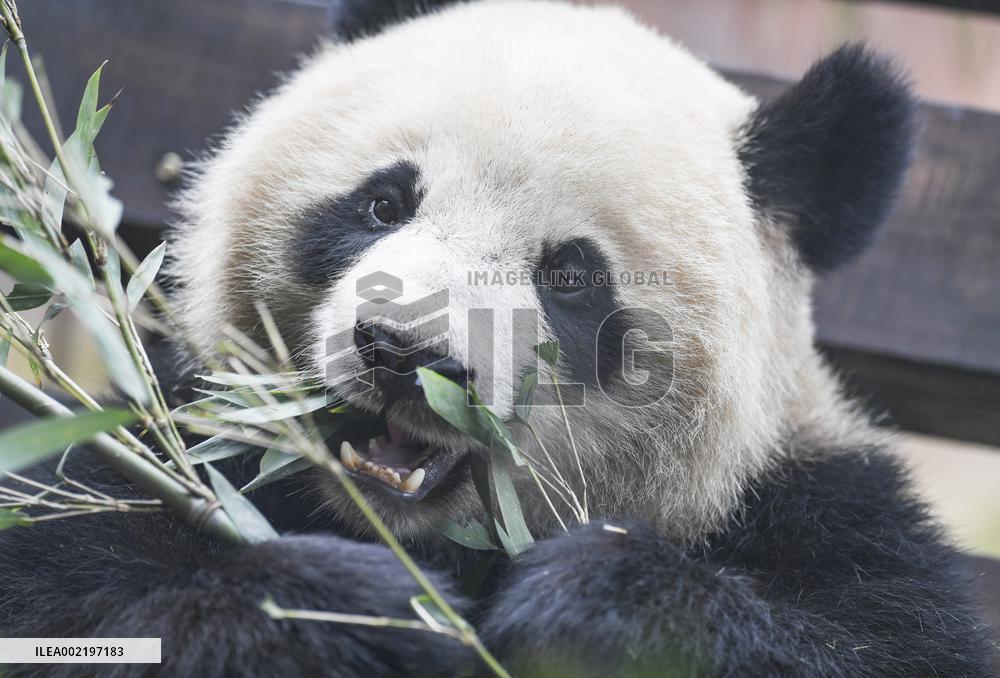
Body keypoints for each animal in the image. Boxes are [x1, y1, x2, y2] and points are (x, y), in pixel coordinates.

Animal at [1, 0, 994, 676]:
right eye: (384, 203)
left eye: (571, 275)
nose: (403, 354)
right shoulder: (164, 426)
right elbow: (63, 573)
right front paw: (357, 612)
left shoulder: (825, 514)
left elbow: (879, 641)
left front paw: (587, 607)